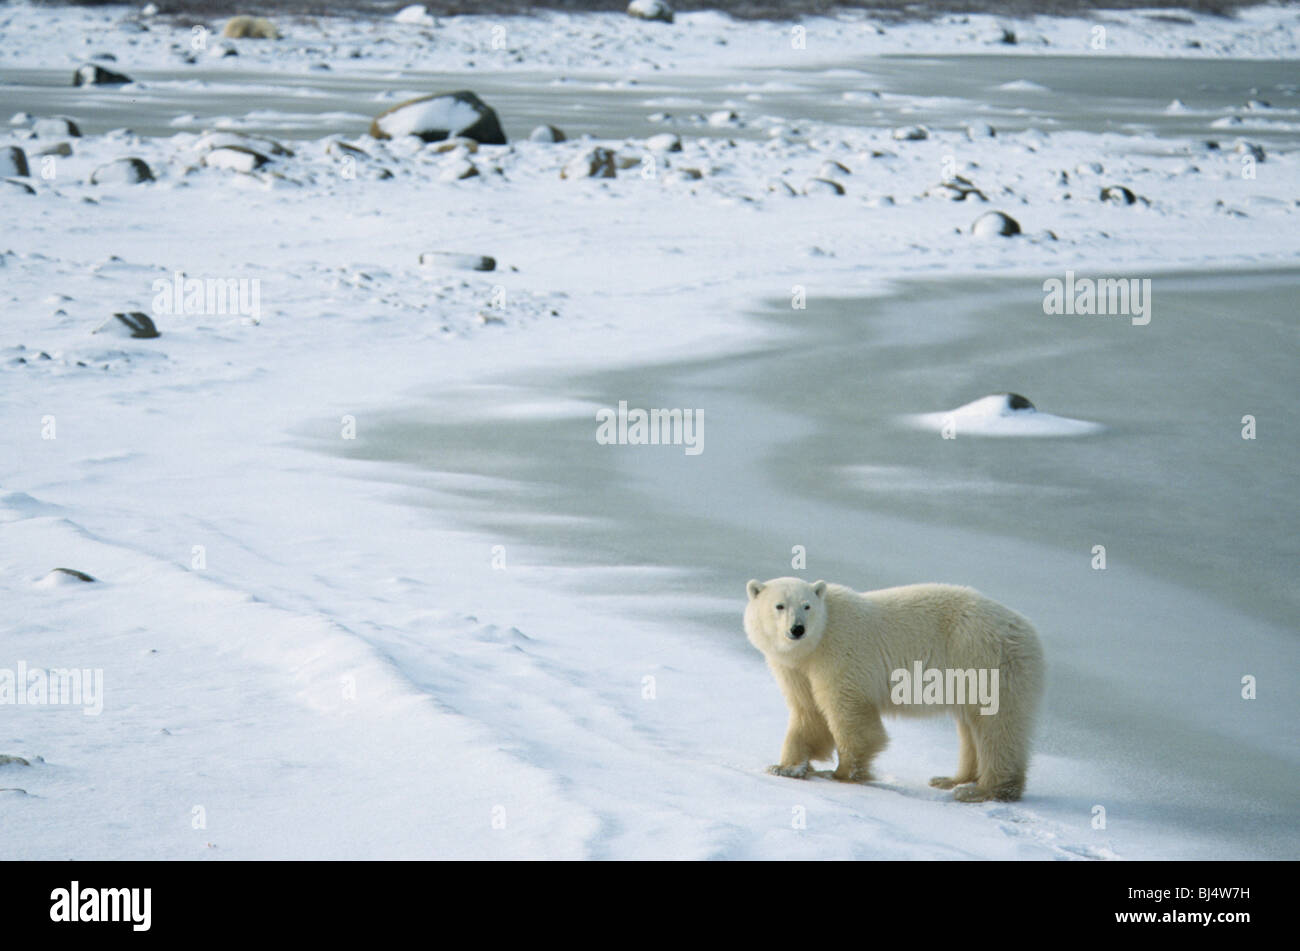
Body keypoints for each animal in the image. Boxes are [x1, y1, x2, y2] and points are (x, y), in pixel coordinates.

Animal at [748, 576, 1040, 800]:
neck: (817, 641)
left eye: (807, 606)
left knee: (996, 726)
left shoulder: (840, 654)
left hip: (985, 660)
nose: (797, 629)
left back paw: (982, 790)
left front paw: (840, 773)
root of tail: (1027, 630)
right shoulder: (797, 669)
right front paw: (785, 767)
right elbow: (808, 712)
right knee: (971, 727)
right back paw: (951, 779)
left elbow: (849, 714)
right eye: (779, 605)